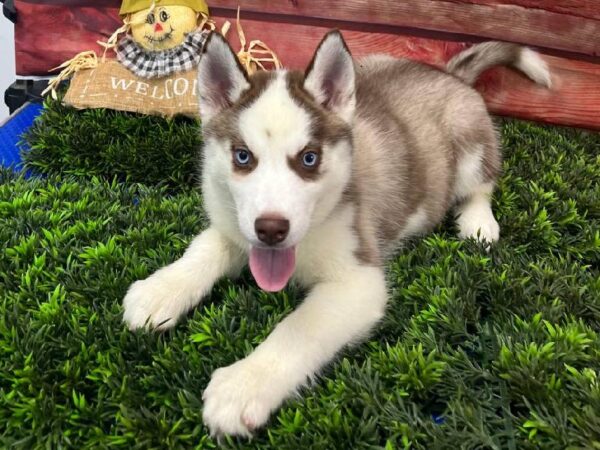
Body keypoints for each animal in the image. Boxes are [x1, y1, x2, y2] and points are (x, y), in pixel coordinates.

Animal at [120, 30, 548, 436]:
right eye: (243, 156)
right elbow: (207, 245)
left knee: (482, 184)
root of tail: (448, 73)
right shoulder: (234, 224)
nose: (271, 229)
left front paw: (244, 384)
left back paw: (478, 222)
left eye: (309, 159)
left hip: (472, 146)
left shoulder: (359, 279)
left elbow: (298, 329)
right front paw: (161, 290)